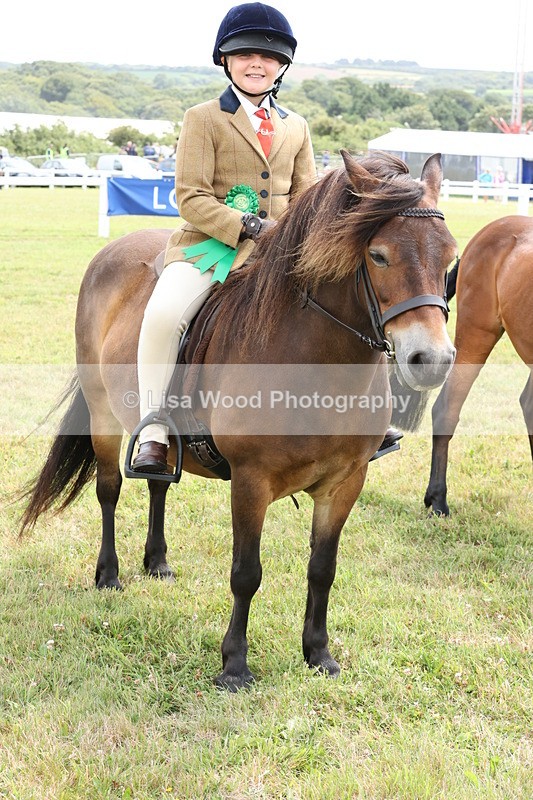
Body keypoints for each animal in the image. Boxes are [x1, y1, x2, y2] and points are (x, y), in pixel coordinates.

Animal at [19, 150, 457, 690]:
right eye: (378, 256)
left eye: (450, 257)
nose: (431, 359)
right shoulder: (251, 481)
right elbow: (246, 573)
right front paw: (234, 666)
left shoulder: (346, 482)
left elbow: (323, 568)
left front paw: (319, 654)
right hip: (103, 414)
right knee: (108, 490)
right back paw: (109, 575)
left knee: (158, 480)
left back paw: (157, 562)